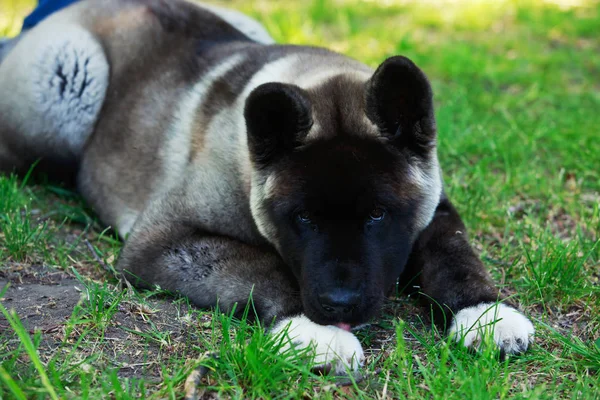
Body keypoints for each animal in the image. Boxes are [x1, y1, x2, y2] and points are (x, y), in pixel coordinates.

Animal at [0, 0, 536, 376]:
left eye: (378, 215)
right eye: (302, 219)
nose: (340, 304)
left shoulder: (434, 208)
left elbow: (453, 253)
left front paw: (485, 313)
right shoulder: (162, 241)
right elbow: (260, 266)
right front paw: (315, 333)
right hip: (70, 77)